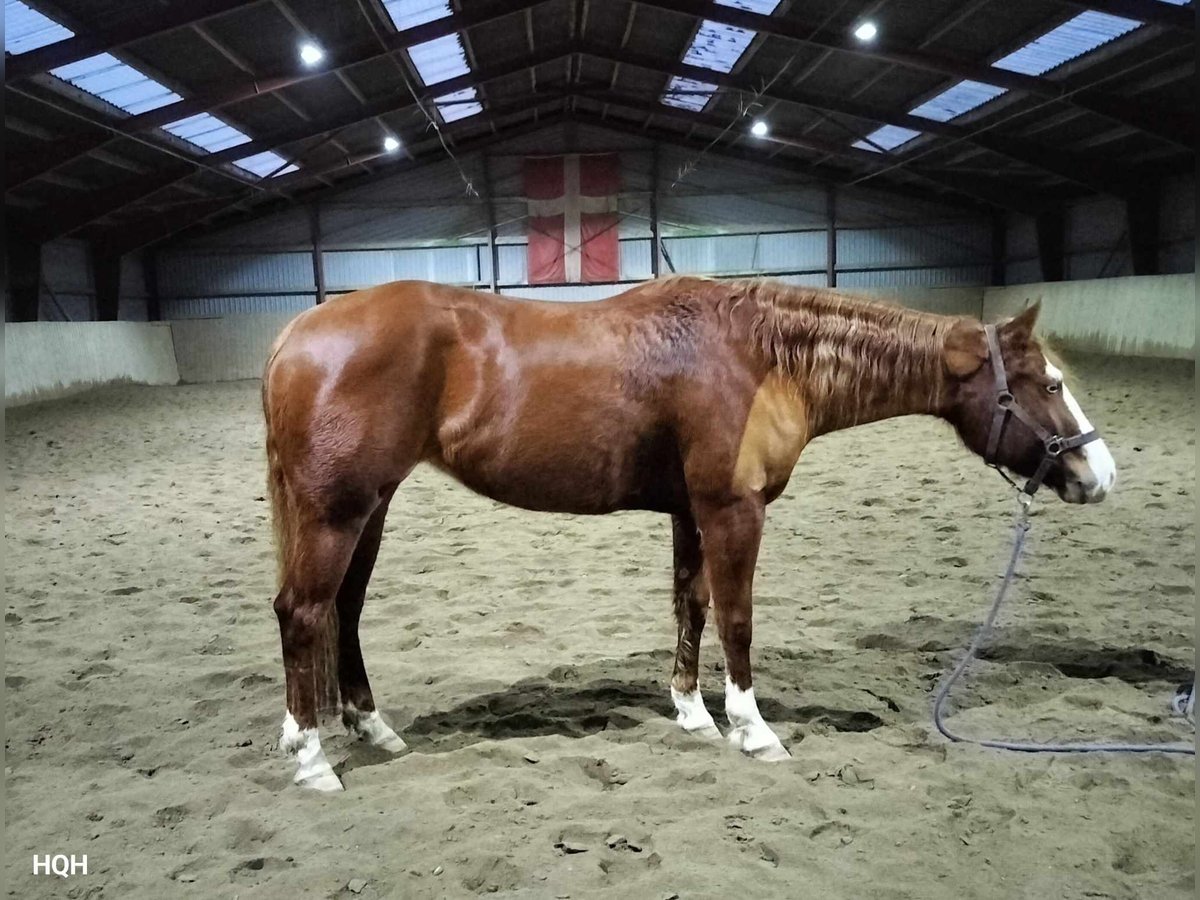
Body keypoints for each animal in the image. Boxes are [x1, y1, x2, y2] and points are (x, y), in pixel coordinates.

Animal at [262, 278, 1113, 792]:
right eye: (1050, 383)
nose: (1100, 473)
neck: (761, 355)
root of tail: (299, 326)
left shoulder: (689, 511)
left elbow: (691, 607)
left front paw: (693, 713)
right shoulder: (734, 508)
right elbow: (737, 618)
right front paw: (754, 730)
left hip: (371, 508)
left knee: (343, 612)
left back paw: (373, 729)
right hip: (339, 510)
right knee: (303, 614)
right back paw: (311, 760)